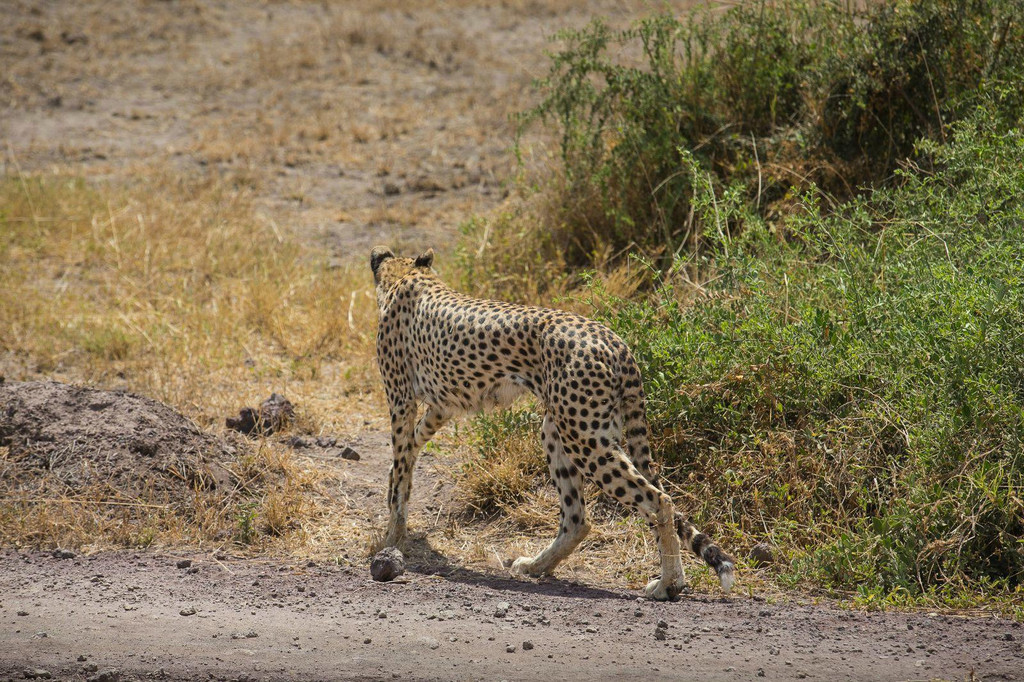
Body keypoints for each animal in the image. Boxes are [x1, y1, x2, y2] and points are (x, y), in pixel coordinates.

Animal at [372, 244, 733, 593]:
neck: (408, 275)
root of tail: (615, 340)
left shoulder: (401, 399)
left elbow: (401, 463)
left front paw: (391, 539)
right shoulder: (441, 406)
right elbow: (409, 451)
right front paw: (395, 495)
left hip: (585, 439)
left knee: (658, 500)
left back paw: (668, 583)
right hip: (562, 428)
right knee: (579, 518)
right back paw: (538, 566)